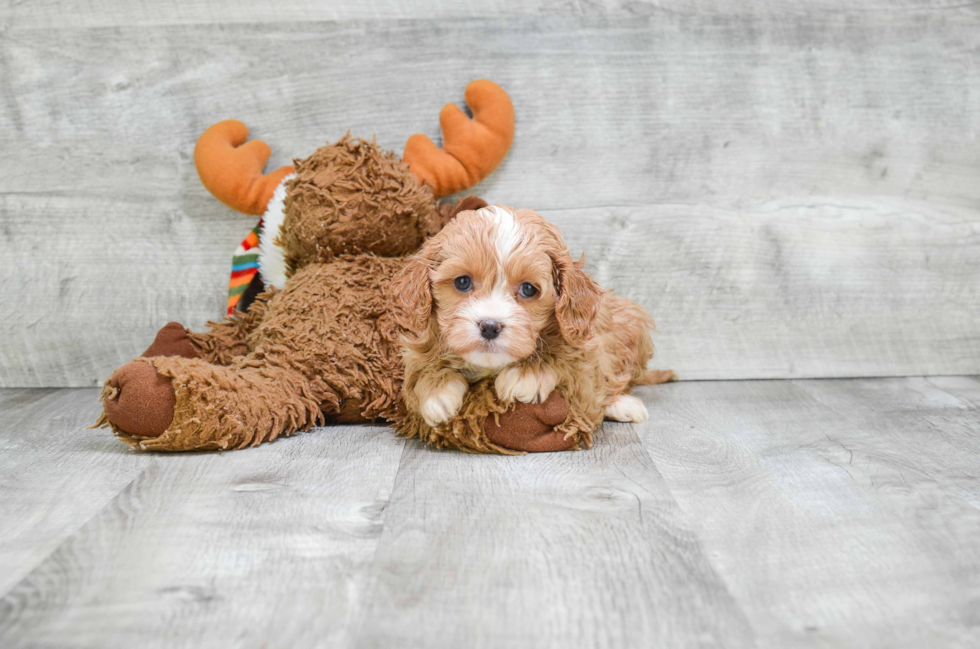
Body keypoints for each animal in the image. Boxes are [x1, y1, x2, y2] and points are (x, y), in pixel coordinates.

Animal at [398, 205, 672, 442]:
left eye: (528, 289)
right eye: (462, 282)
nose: (490, 326)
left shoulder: (588, 348)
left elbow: (571, 362)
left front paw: (527, 373)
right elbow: (420, 368)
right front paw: (437, 390)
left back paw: (624, 404)